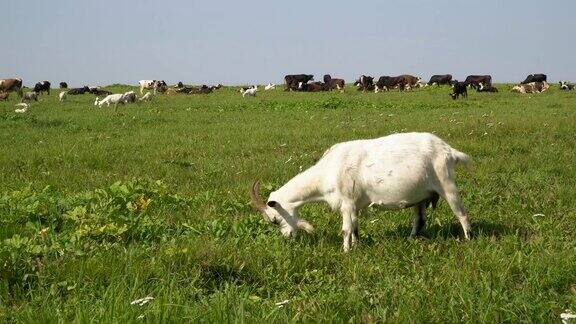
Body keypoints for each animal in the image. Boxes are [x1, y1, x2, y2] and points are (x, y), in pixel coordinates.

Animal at [251, 132, 472, 251]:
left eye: (274, 219)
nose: (287, 237)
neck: (329, 170)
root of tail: (449, 151)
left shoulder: (347, 202)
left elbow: (346, 229)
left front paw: (345, 251)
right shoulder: (355, 205)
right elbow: (355, 227)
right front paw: (356, 246)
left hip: (446, 184)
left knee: (461, 214)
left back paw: (468, 239)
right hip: (420, 196)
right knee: (419, 219)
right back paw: (411, 239)